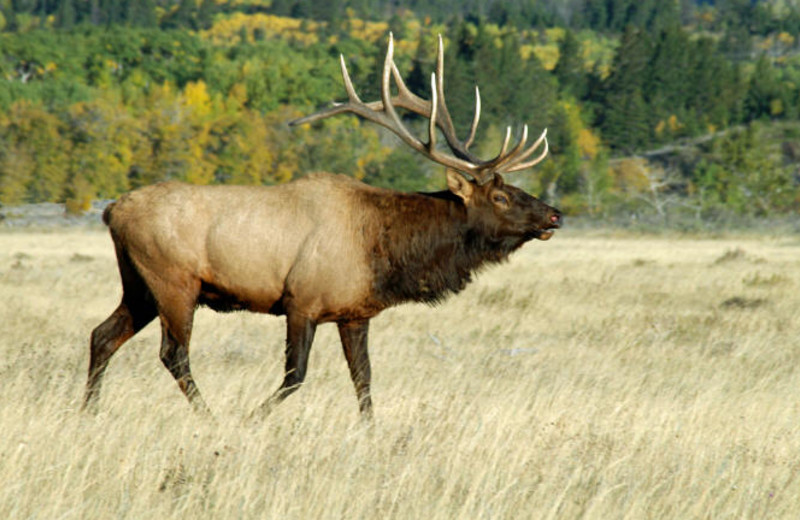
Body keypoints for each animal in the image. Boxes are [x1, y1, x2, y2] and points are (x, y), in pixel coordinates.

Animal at [83, 34, 564, 420]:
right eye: (500, 197)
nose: (555, 215)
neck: (385, 251)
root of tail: (112, 211)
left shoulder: (354, 312)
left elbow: (364, 378)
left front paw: (371, 432)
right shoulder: (302, 300)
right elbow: (296, 375)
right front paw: (252, 418)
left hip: (140, 286)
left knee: (102, 335)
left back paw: (89, 410)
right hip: (174, 281)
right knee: (174, 353)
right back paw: (210, 416)